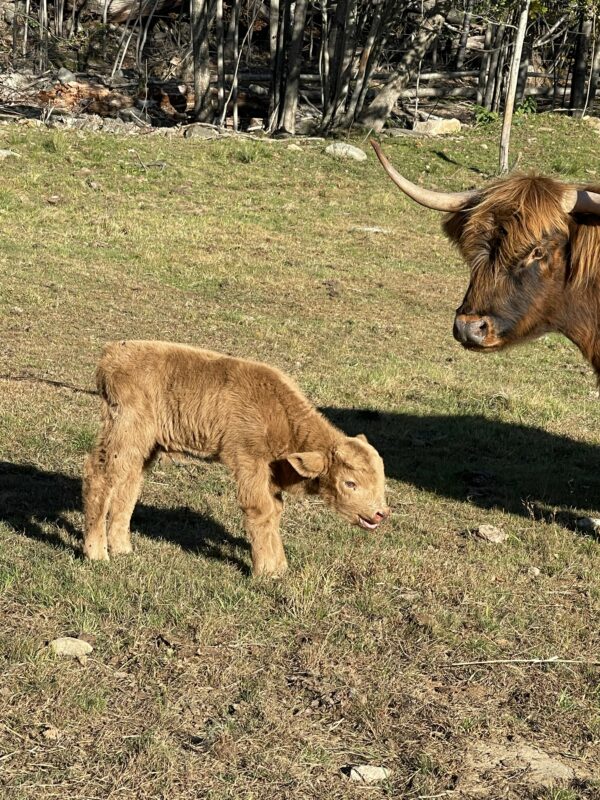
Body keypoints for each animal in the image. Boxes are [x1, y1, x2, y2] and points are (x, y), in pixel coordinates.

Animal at [83, 341, 389, 577]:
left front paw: (279, 566)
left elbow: (275, 511)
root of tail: (111, 354)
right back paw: (97, 553)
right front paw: (266, 571)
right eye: (350, 483)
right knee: (100, 475)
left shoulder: (271, 473)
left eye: (381, 480)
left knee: (129, 484)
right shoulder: (249, 460)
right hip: (125, 432)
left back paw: (122, 548)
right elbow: (260, 509)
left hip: (145, 444)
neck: (279, 414)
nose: (380, 513)